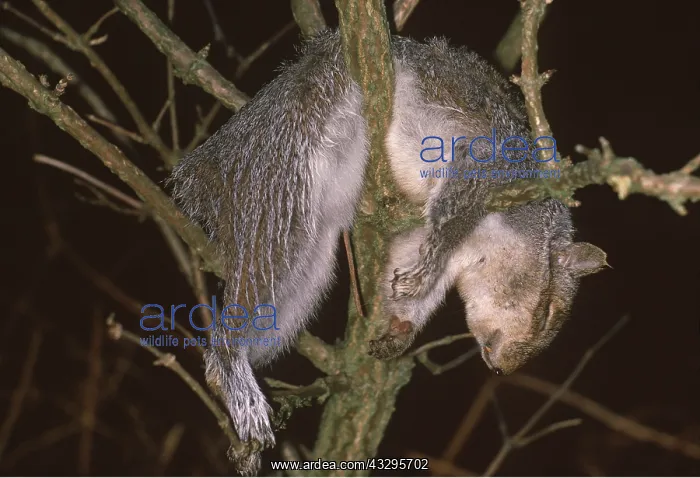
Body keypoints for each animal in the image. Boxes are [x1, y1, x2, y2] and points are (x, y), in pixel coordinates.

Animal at [169, 28, 607, 474]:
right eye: (549, 311)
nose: (502, 367)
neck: (482, 246)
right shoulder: (492, 167)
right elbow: (454, 209)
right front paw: (423, 276)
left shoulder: (421, 237)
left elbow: (409, 266)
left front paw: (401, 329)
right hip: (279, 179)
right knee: (255, 279)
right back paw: (233, 373)